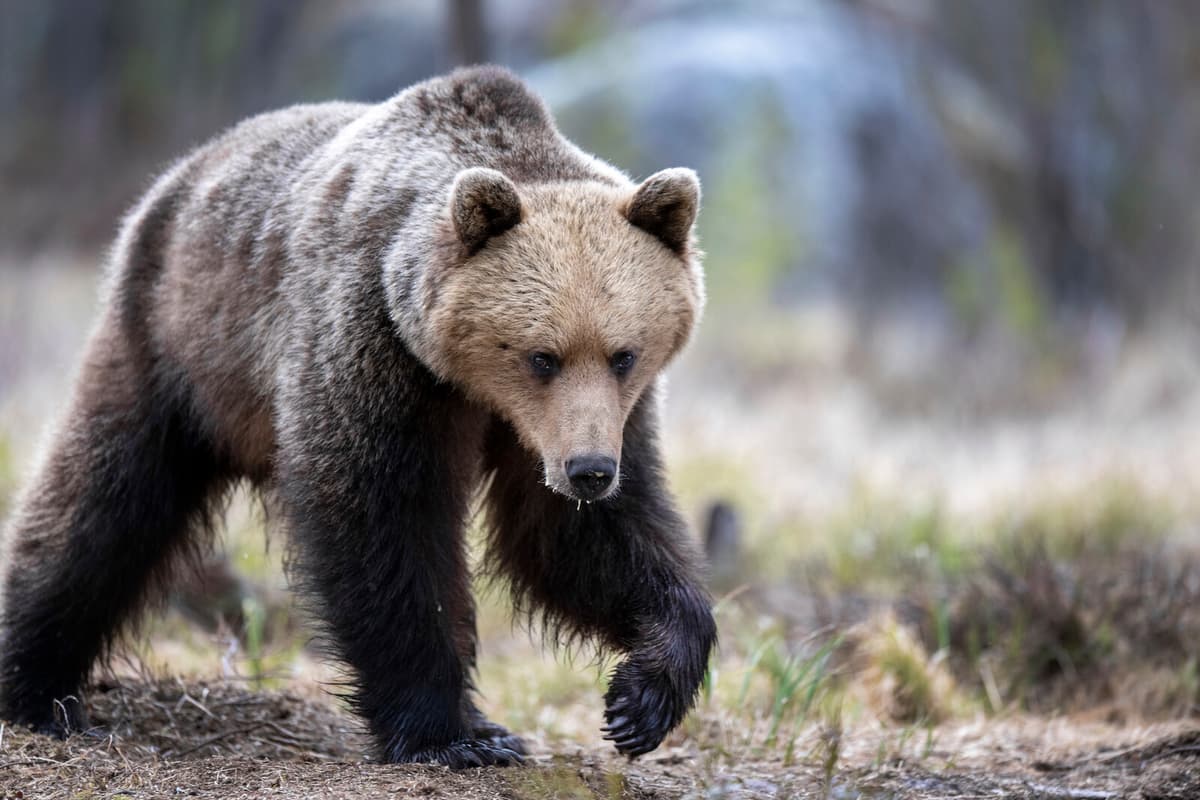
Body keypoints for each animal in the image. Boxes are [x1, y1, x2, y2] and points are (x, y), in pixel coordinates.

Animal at [0, 66, 716, 768]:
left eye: (624, 354)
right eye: (543, 356)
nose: (589, 471)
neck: (468, 382)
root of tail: (182, 171)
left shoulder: (583, 424)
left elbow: (577, 537)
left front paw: (641, 698)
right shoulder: (372, 346)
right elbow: (380, 520)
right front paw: (453, 734)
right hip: (177, 343)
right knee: (104, 498)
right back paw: (37, 688)